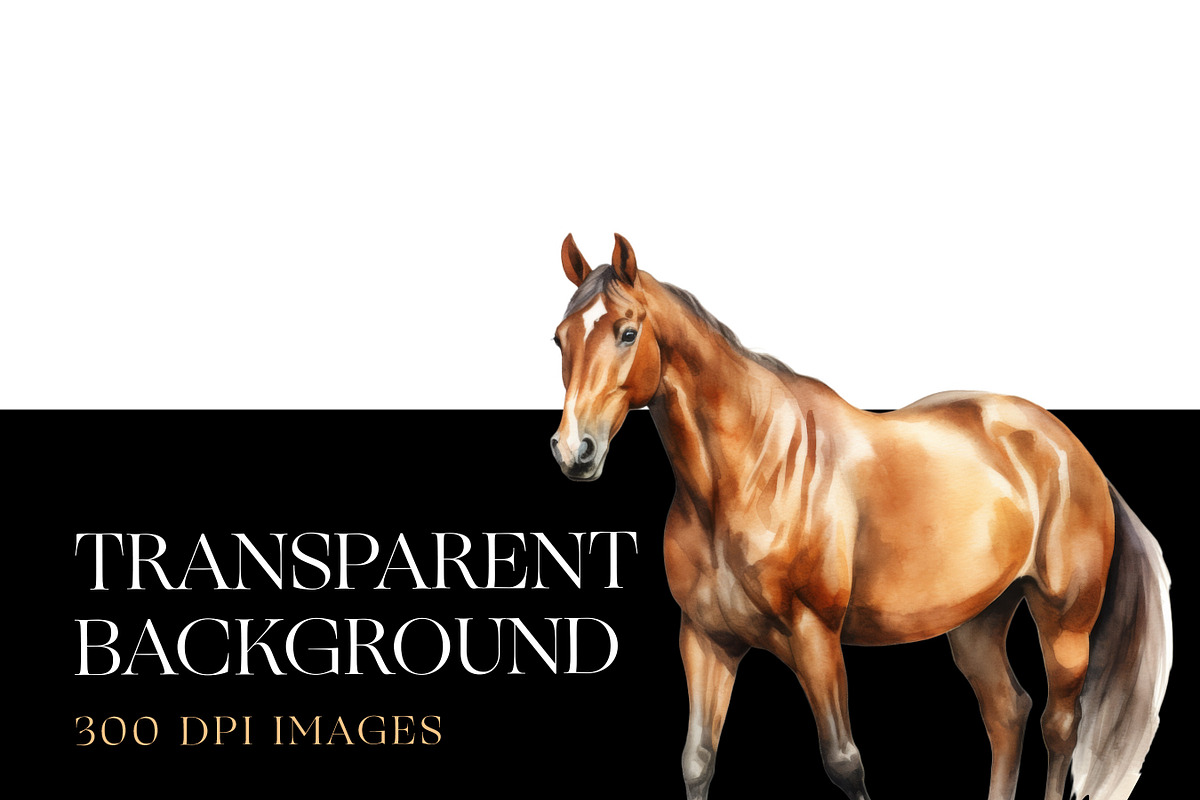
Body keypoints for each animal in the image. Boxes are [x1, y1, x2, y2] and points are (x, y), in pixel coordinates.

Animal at [548, 234, 1172, 800]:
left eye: (628, 332)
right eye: (560, 338)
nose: (574, 450)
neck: (749, 474)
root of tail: (1072, 450)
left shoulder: (815, 637)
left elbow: (844, 762)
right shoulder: (706, 638)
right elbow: (698, 761)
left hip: (1065, 622)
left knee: (1058, 727)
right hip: (978, 621)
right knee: (1007, 712)